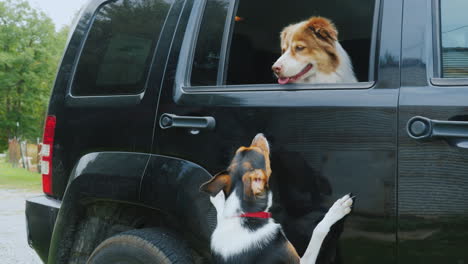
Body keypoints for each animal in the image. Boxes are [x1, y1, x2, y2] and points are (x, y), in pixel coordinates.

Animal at [199, 134, 352, 264]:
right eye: (261, 152)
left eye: (242, 149)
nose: (259, 134)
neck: (245, 216)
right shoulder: (302, 261)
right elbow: (318, 231)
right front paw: (337, 210)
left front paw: (218, 197)